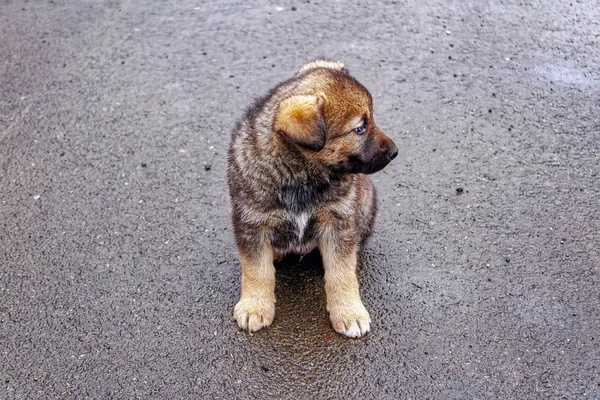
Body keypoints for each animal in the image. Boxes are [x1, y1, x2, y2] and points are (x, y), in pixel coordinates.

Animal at [227, 59, 396, 338]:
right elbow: (256, 270)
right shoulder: (252, 224)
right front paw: (255, 306)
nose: (395, 152)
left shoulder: (339, 221)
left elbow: (342, 273)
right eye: (360, 128)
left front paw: (349, 312)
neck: (300, 174)